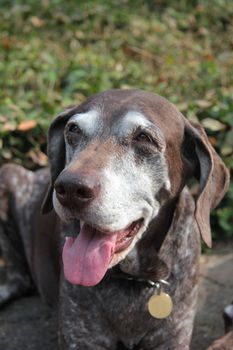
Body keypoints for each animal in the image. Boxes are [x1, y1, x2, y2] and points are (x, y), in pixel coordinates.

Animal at [0, 89, 229, 348]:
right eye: (73, 129)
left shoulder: (173, 339)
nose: (69, 188)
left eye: (144, 138)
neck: (135, 279)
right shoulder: (82, 339)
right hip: (6, 173)